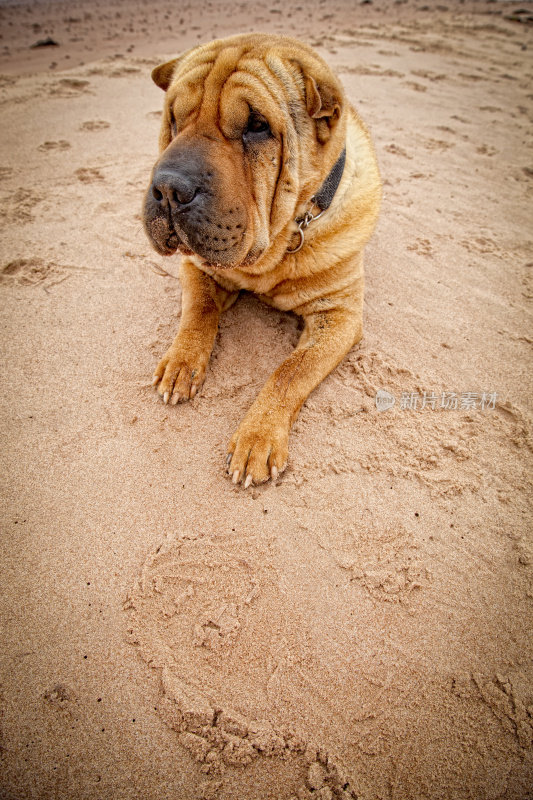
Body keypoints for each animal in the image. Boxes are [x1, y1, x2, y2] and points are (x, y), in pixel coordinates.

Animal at [143, 32, 380, 488]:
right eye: (174, 119)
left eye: (257, 127)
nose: (168, 189)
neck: (278, 247)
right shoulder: (197, 267)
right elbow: (198, 312)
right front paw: (180, 363)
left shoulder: (339, 314)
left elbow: (289, 371)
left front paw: (257, 438)